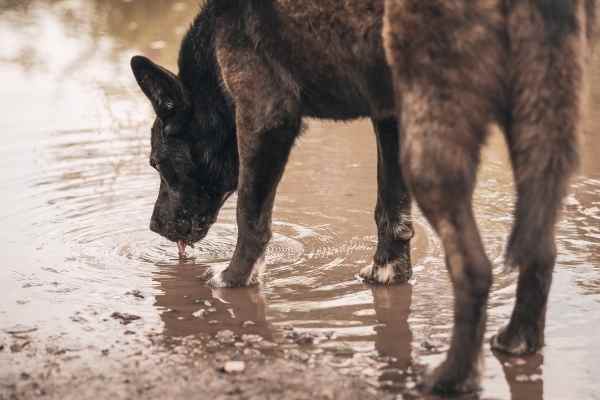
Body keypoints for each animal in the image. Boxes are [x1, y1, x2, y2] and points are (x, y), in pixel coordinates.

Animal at [129, 0, 592, 394]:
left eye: (156, 163)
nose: (153, 226)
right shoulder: (389, 116)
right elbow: (390, 209)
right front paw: (388, 272)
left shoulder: (265, 116)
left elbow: (251, 216)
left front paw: (232, 280)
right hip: (533, 124)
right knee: (540, 249)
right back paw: (517, 340)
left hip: (434, 151)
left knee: (474, 267)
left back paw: (450, 376)